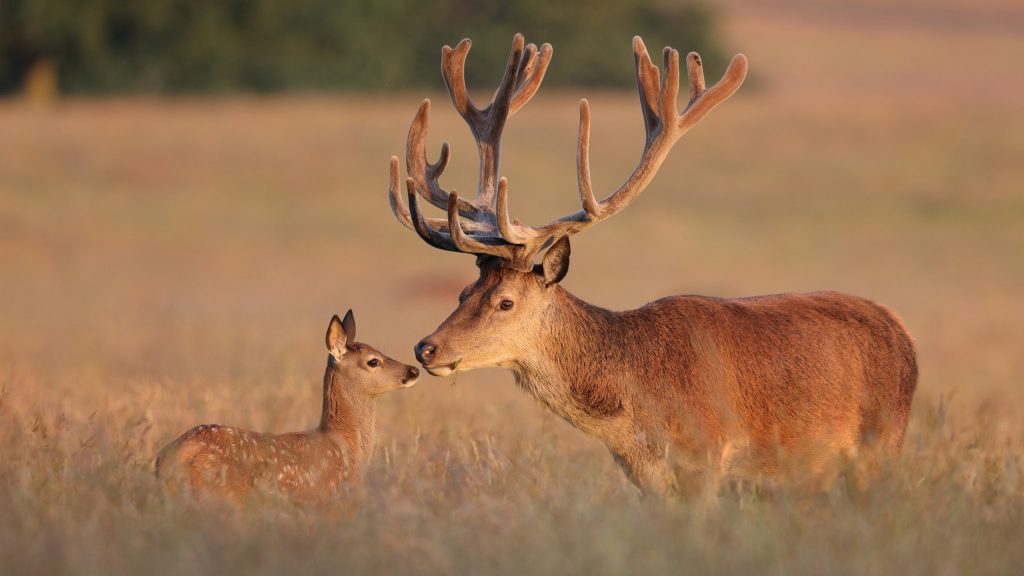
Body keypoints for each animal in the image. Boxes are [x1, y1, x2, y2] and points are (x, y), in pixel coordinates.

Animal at [386, 34, 918, 498]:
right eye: (462, 293)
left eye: (505, 302)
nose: (426, 347)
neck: (635, 416)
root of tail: (902, 331)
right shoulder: (643, 477)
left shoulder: (709, 455)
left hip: (883, 443)